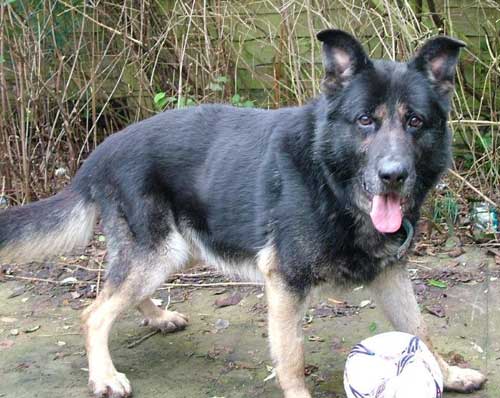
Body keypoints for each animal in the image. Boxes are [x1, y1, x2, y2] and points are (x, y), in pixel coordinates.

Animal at [0, 29, 484, 396]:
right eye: (365, 120)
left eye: (415, 121)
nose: (393, 175)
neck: (331, 181)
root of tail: (99, 155)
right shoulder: (284, 282)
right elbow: (291, 356)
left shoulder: (390, 275)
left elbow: (421, 331)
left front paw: (447, 373)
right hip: (158, 251)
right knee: (94, 313)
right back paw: (104, 376)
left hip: (179, 249)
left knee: (119, 292)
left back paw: (157, 317)